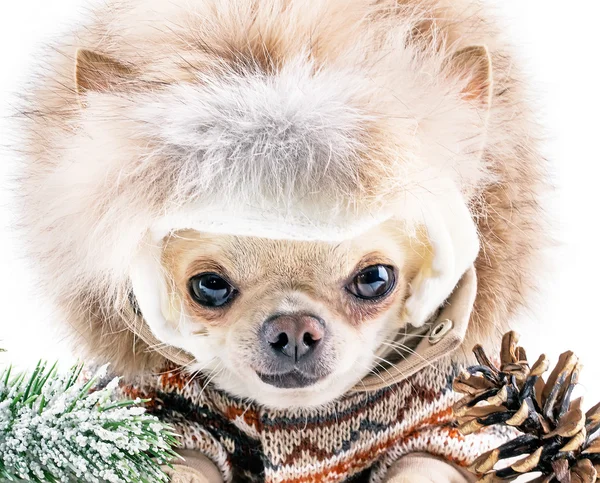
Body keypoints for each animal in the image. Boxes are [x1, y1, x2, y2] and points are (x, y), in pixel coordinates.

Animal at [17, 0, 544, 480]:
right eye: (209, 286)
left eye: (375, 279)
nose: (292, 328)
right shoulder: (175, 413)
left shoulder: (443, 424)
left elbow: (423, 464)